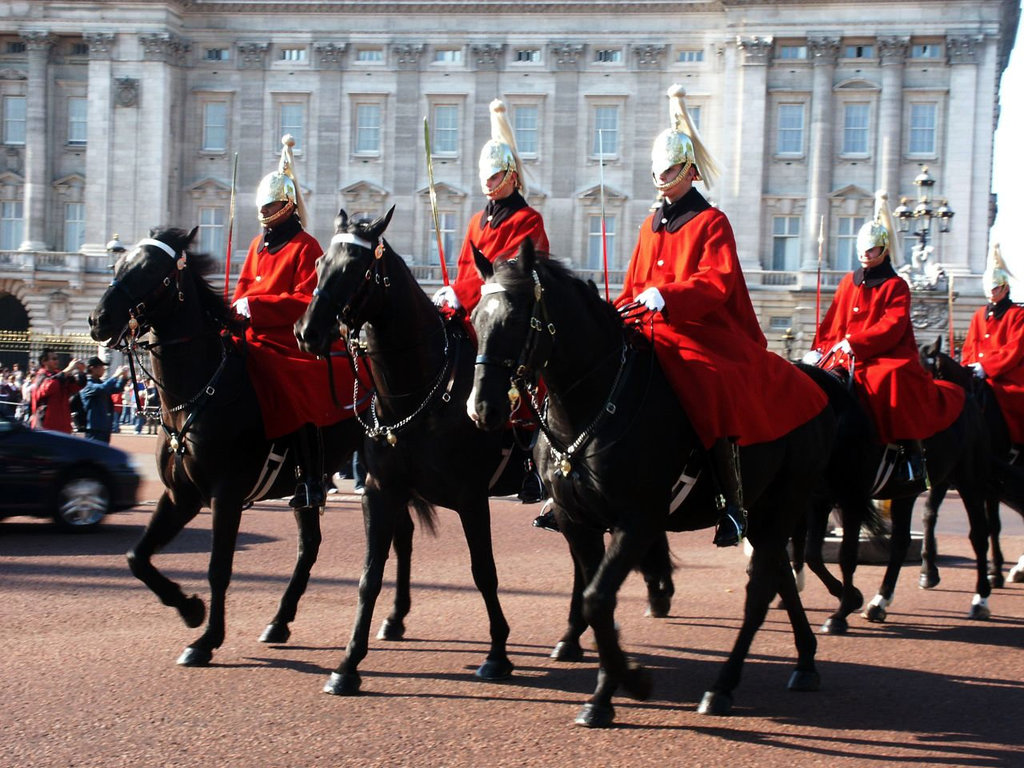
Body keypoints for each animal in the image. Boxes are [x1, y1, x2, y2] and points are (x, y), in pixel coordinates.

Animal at [87, 227, 376, 667]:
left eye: (152, 270)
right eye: (118, 264)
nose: (98, 320)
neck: (198, 393)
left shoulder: (226, 495)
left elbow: (218, 567)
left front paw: (206, 639)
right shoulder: (181, 495)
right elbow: (137, 557)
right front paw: (190, 609)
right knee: (309, 546)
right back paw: (280, 621)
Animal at [292, 208, 675, 696]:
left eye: (356, 268)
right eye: (320, 263)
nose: (307, 332)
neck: (421, 391)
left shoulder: (471, 498)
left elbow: (483, 572)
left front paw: (497, 654)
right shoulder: (381, 491)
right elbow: (369, 575)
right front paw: (348, 664)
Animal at [468, 241, 835, 729]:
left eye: (514, 317)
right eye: (475, 318)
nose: (482, 409)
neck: (591, 407)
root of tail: (812, 381)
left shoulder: (638, 521)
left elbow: (597, 597)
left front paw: (629, 683)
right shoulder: (577, 521)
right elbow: (595, 599)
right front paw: (607, 689)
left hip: (782, 505)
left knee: (758, 594)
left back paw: (721, 688)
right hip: (763, 514)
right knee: (780, 579)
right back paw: (806, 661)